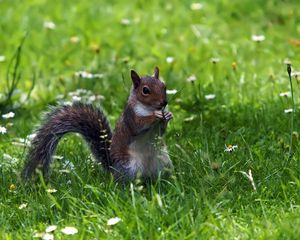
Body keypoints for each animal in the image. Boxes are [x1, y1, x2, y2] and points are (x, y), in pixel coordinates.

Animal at [22, 66, 173, 183]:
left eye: (164, 86)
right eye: (145, 90)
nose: (164, 103)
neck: (148, 108)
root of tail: (112, 169)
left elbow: (161, 131)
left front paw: (167, 116)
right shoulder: (130, 117)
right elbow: (138, 125)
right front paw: (156, 116)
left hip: (163, 160)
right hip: (130, 166)